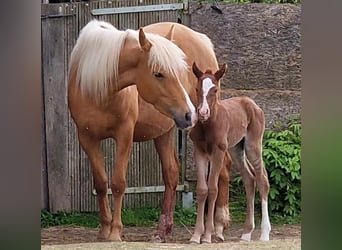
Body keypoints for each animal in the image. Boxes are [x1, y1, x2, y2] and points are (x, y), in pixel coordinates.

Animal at [188, 63, 272, 244]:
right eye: (197, 88)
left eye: (215, 90)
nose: (203, 112)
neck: (208, 125)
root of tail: (253, 104)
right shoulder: (200, 151)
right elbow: (202, 189)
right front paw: (196, 235)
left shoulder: (218, 152)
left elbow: (213, 188)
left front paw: (207, 236)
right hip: (236, 149)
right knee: (249, 179)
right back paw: (246, 233)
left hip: (252, 145)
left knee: (262, 179)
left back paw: (264, 233)